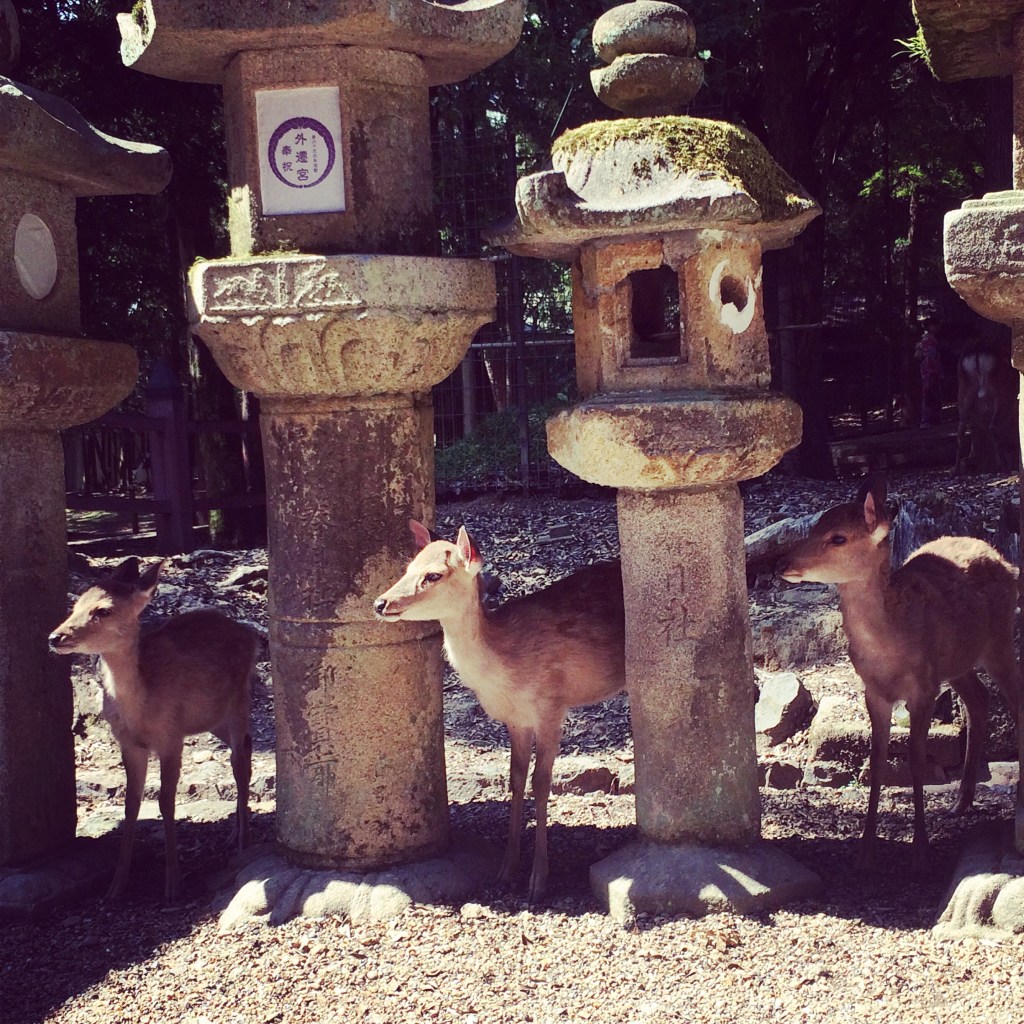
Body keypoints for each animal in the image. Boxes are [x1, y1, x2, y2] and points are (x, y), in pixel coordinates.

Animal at [49, 557, 258, 902]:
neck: (143, 709)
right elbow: (131, 804)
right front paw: (115, 888)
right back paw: (233, 835)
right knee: (245, 747)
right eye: (76, 604)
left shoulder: (171, 738)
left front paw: (173, 885)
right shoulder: (130, 744)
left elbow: (166, 802)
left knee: (240, 762)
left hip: (239, 700)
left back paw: (243, 842)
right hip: (212, 719)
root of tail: (249, 633)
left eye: (103, 610)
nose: (55, 637)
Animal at [374, 521, 626, 902]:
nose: (380, 602)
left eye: (433, 575)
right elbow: (516, 779)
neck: (506, 668)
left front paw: (538, 881)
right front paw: (506, 871)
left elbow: (542, 781)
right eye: (407, 567)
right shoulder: (516, 719)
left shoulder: (552, 706)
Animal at [779, 475, 1020, 872]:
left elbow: (915, 761)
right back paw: (960, 803)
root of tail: (1005, 560)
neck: (890, 648)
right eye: (813, 526)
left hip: (999, 639)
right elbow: (877, 761)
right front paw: (865, 852)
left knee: (1015, 699)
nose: (783, 563)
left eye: (838, 537)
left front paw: (920, 853)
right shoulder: (874, 691)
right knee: (979, 698)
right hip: (955, 661)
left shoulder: (922, 689)